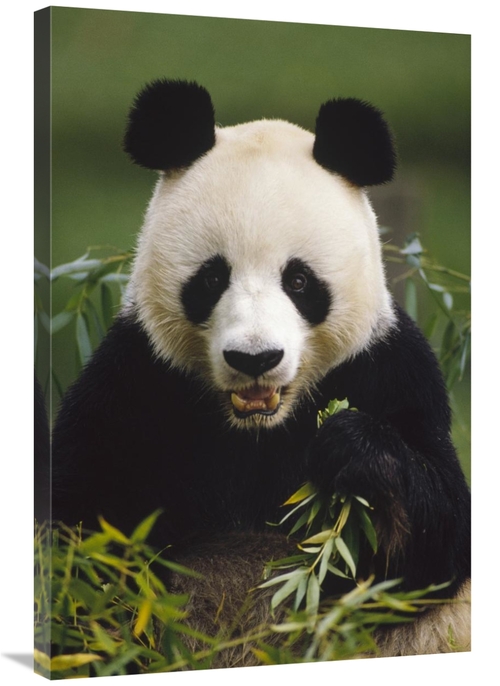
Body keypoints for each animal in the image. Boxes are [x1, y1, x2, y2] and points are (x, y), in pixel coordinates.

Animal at [52, 79, 471, 663]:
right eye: (211, 278)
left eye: (298, 281)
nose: (255, 359)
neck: (258, 431)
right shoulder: (136, 381)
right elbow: (81, 537)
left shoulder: (389, 369)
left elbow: (437, 543)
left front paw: (353, 449)